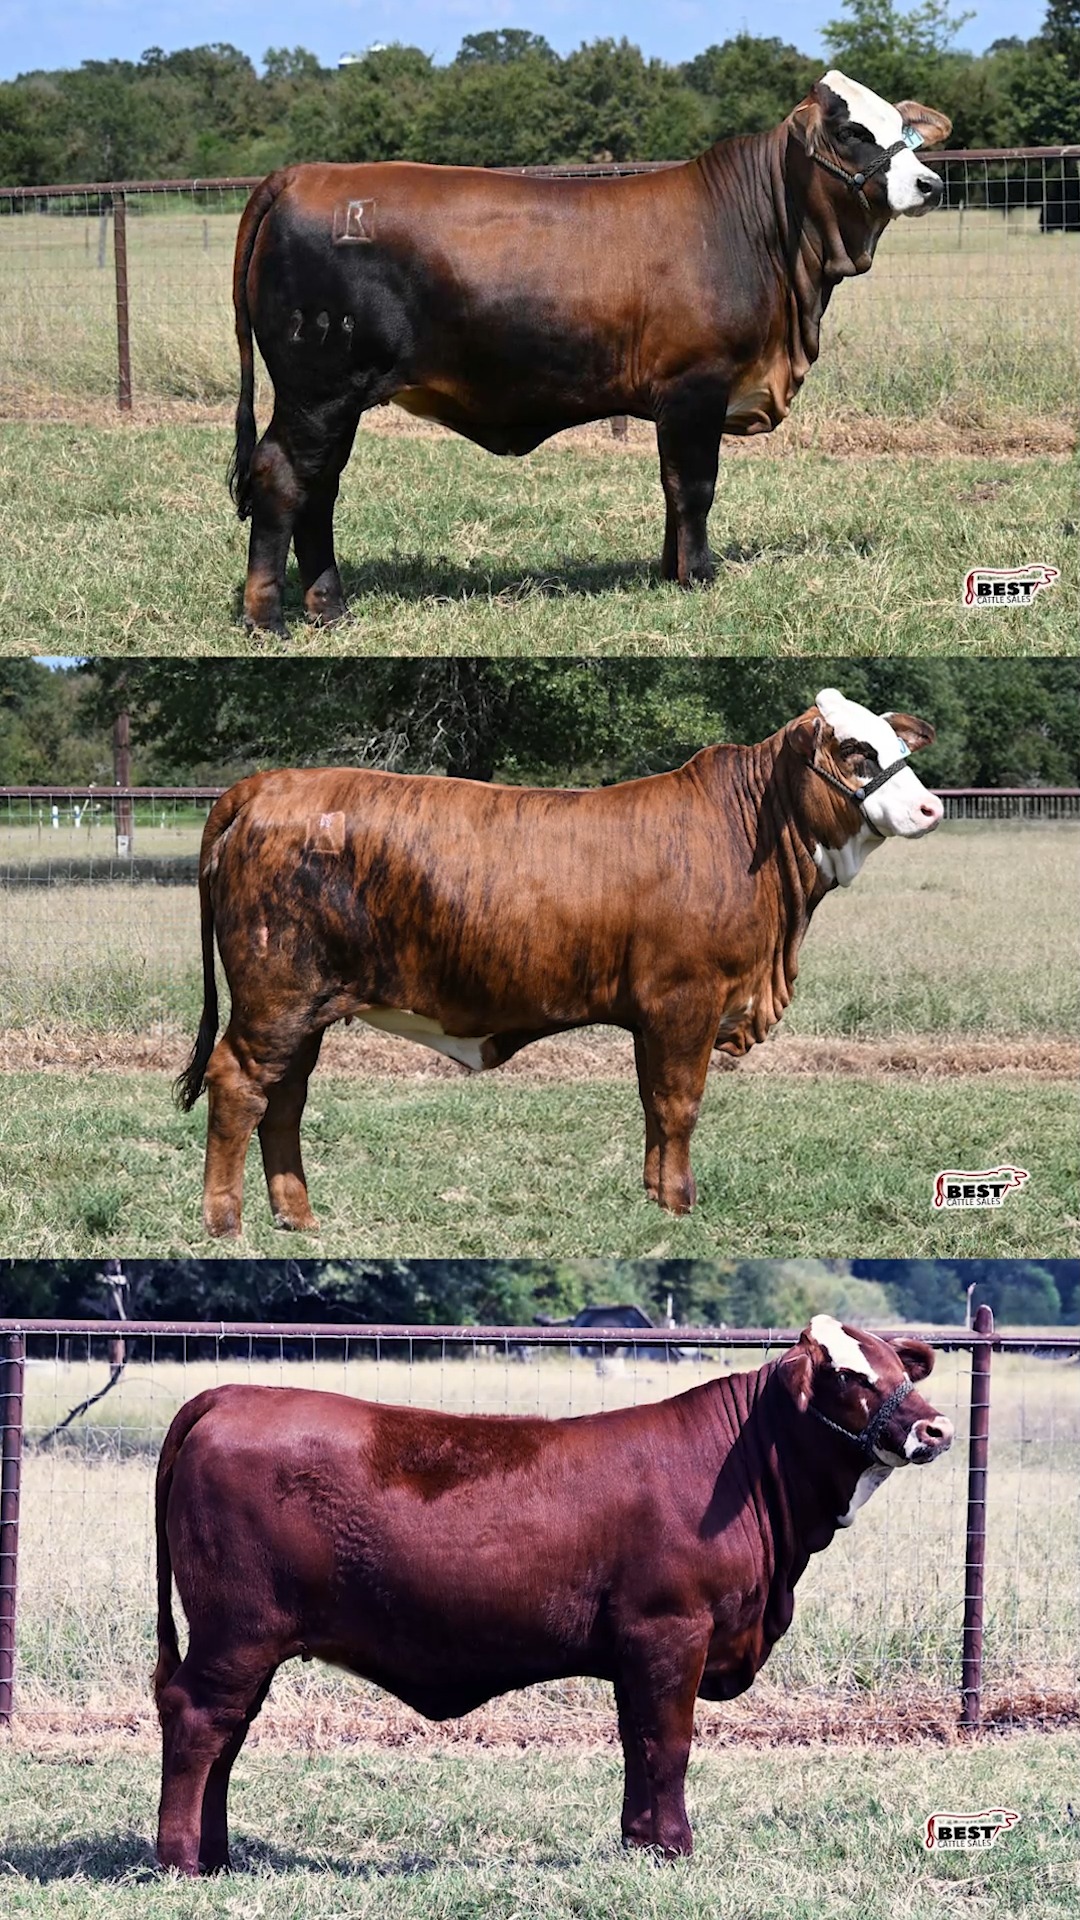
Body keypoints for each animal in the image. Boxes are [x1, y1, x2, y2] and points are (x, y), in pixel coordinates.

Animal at [153, 1315, 953, 1873]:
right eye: (848, 1375)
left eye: (897, 1366)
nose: (937, 1428)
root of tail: (232, 1394)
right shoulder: (672, 1630)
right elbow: (669, 1741)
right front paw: (675, 1847)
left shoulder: (636, 1650)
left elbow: (637, 1740)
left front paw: (639, 1844)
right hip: (238, 1631)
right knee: (199, 1720)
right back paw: (183, 1860)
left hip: (249, 1641)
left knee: (227, 1732)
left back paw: (217, 1855)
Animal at [174, 688, 944, 1238]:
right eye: (856, 749)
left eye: (894, 744)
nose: (932, 807)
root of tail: (265, 787)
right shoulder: (685, 1000)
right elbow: (681, 1102)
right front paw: (679, 1204)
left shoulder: (654, 1016)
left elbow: (653, 1103)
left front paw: (653, 1195)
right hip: (276, 996)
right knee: (238, 1083)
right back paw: (225, 1223)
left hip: (306, 1008)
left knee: (285, 1099)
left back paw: (298, 1217)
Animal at [229, 73, 951, 634]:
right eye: (853, 130)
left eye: (904, 130)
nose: (929, 184)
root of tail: (305, 174)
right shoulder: (697, 384)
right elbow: (696, 487)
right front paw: (701, 577)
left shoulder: (672, 401)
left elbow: (670, 486)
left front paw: (669, 572)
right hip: (317, 391)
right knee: (283, 477)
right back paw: (269, 618)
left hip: (338, 399)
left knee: (320, 488)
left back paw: (331, 609)